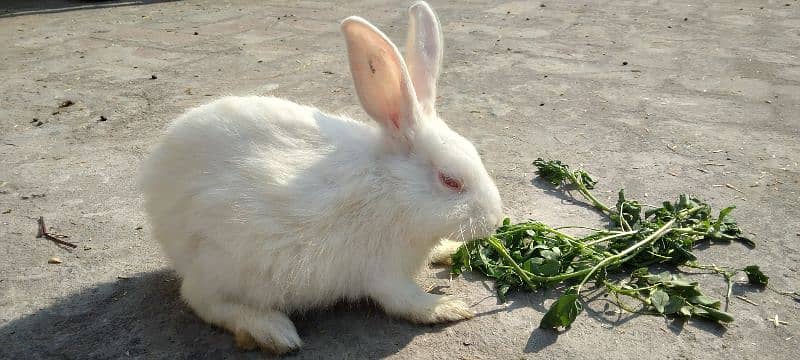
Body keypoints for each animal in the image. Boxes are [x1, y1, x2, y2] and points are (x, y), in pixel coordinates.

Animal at [138, 0, 500, 354]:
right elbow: (406, 302)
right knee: (201, 300)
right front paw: (448, 308)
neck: (394, 188)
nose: (495, 221)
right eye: (450, 181)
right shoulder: (384, 271)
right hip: (226, 264)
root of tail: (157, 190)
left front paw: (450, 250)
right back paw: (273, 331)